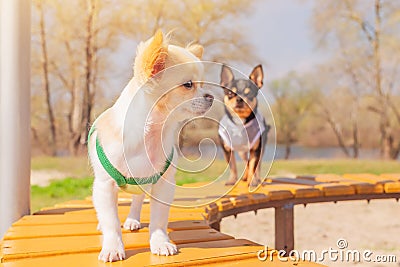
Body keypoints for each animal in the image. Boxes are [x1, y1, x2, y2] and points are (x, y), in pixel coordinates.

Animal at [87, 30, 212, 262]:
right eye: (188, 85)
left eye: (202, 84)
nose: (211, 96)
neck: (150, 136)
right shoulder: (105, 185)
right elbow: (111, 221)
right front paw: (112, 247)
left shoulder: (163, 185)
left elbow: (159, 220)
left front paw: (160, 242)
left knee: (137, 200)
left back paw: (133, 220)